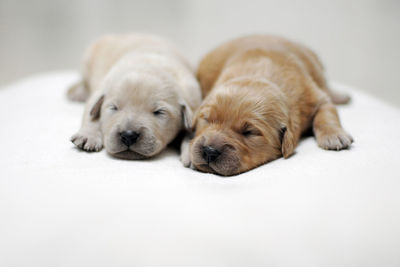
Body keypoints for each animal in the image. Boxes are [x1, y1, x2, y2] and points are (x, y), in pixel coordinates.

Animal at [68, 33, 203, 159]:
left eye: (159, 112)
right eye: (114, 108)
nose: (128, 135)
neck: (149, 66)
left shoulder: (193, 100)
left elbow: (191, 130)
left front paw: (190, 152)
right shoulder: (102, 86)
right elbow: (92, 113)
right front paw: (87, 135)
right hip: (88, 60)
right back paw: (78, 93)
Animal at [184, 35, 354, 177]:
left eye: (249, 132)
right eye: (206, 119)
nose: (209, 151)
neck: (260, 73)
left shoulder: (314, 96)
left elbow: (326, 113)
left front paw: (334, 135)